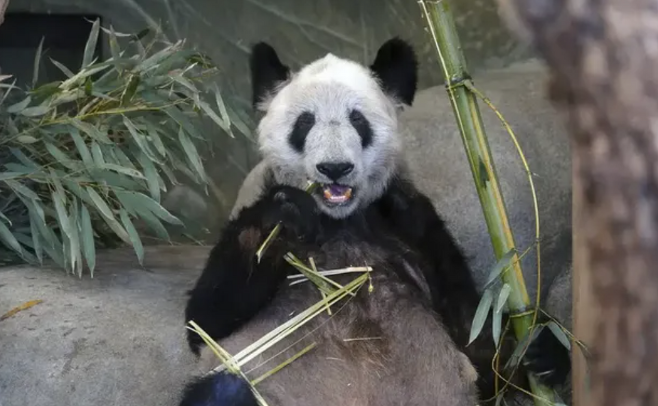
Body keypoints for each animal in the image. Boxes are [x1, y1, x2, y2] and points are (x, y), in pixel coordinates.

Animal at [178, 36, 568, 404]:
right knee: (225, 391)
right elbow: (206, 318)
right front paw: (283, 217)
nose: (334, 167)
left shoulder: (410, 224)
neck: (338, 220)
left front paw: (544, 345)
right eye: (305, 122)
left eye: (357, 120)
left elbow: (481, 342)